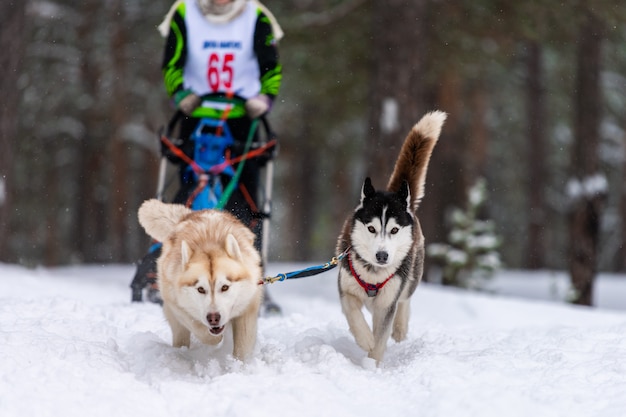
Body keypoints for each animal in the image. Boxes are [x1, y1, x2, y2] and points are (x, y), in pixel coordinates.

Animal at [138, 197, 262, 358]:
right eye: (201, 289)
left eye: (225, 287)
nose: (213, 318)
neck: (208, 243)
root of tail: (188, 215)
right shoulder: (177, 305)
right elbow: (204, 332)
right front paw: (213, 339)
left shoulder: (248, 307)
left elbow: (242, 348)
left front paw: (240, 364)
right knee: (182, 336)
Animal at [336, 111, 444, 364]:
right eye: (371, 229)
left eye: (394, 230)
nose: (382, 256)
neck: (373, 274)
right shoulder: (346, 289)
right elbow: (354, 314)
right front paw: (365, 339)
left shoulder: (387, 303)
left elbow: (381, 334)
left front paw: (372, 363)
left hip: (411, 274)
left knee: (406, 298)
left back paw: (400, 328)